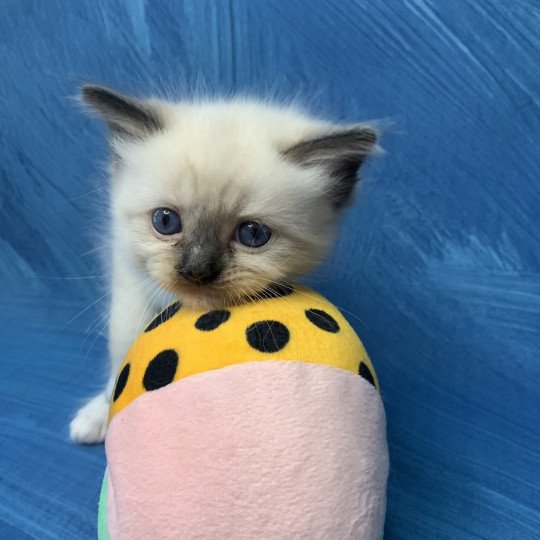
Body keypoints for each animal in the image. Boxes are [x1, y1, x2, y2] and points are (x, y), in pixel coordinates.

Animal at [69, 86, 378, 446]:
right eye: (165, 221)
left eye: (252, 234)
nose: (196, 270)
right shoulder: (132, 294)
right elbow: (121, 360)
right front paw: (98, 417)